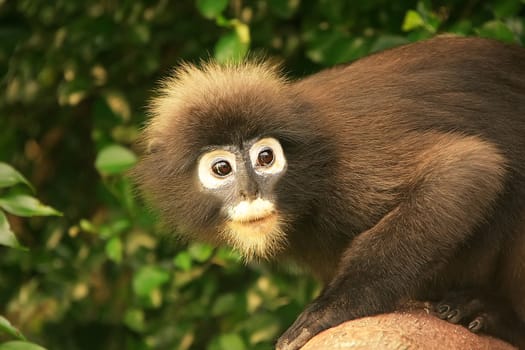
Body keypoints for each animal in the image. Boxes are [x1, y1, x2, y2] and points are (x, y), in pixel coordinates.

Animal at [131, 36, 524, 350]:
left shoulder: (348, 167)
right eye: (222, 169)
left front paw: (334, 307)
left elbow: (467, 167)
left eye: (265, 157)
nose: (249, 192)